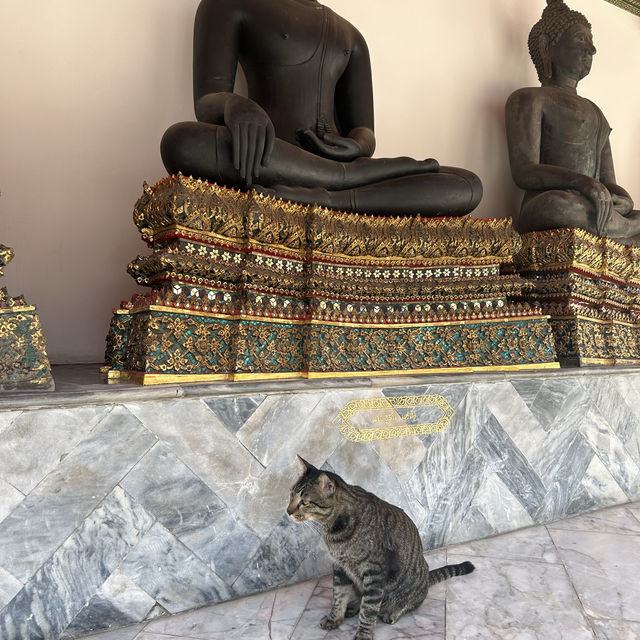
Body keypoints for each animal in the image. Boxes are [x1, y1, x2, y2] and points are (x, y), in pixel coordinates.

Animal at [288, 458, 472, 636]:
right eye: (291, 495)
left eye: (304, 502)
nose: (288, 511)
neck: (334, 529)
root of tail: (427, 578)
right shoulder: (340, 567)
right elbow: (339, 596)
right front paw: (335, 618)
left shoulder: (375, 572)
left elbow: (368, 610)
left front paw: (363, 634)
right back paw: (353, 606)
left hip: (412, 583)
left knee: (408, 602)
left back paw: (392, 611)